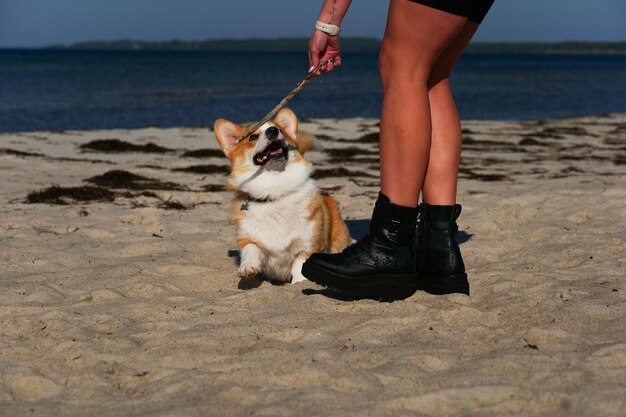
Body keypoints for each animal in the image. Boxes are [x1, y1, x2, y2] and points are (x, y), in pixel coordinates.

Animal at [213, 108, 352, 282]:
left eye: (281, 131)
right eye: (252, 137)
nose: (273, 131)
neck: (274, 190)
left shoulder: (307, 248)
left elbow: (299, 270)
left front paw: (299, 283)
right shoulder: (247, 239)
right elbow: (250, 249)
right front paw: (248, 268)